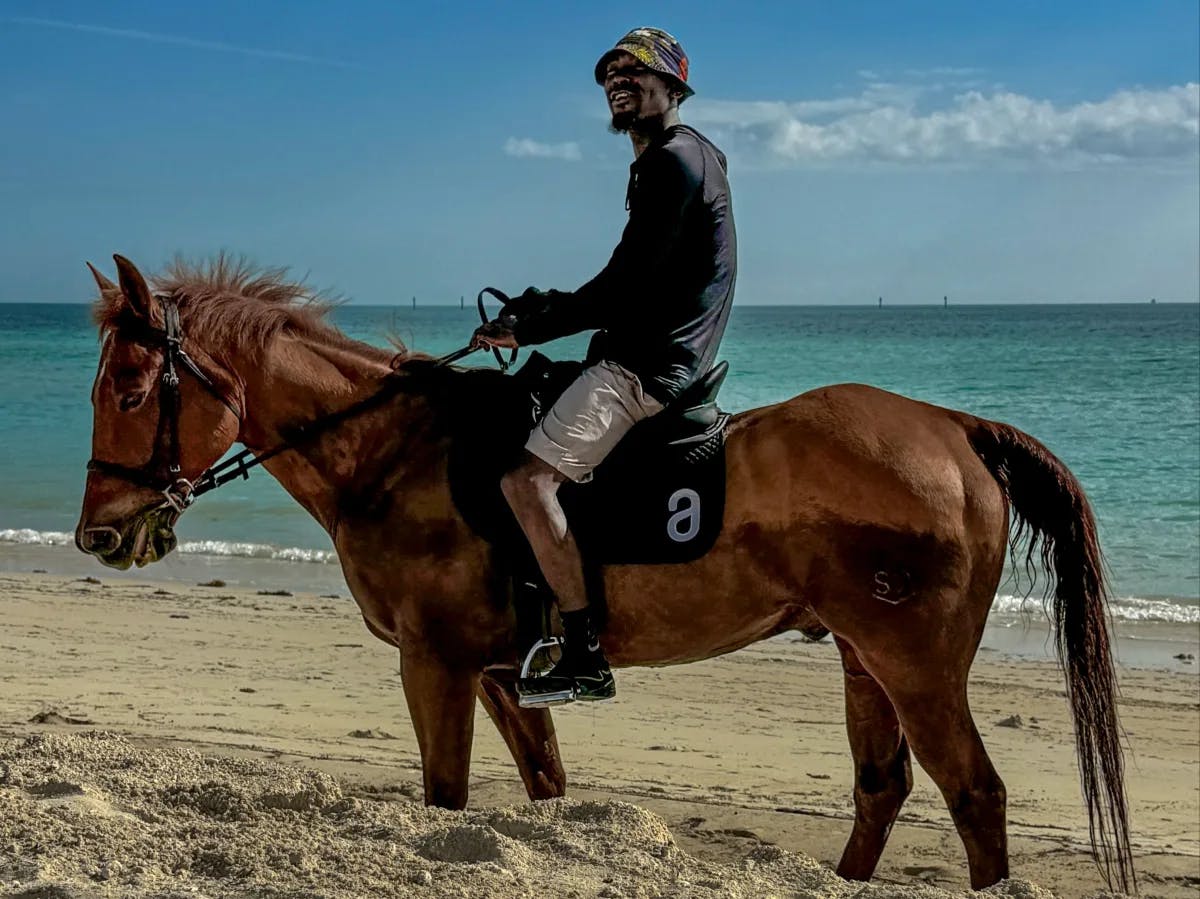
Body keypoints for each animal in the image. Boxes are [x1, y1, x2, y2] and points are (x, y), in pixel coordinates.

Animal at [77, 255, 1132, 892]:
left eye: (129, 391)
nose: (98, 535)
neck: (392, 452)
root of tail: (954, 427)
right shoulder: (500, 671)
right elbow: (544, 788)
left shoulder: (435, 664)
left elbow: (445, 798)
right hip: (862, 656)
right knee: (882, 787)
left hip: (914, 666)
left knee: (975, 796)